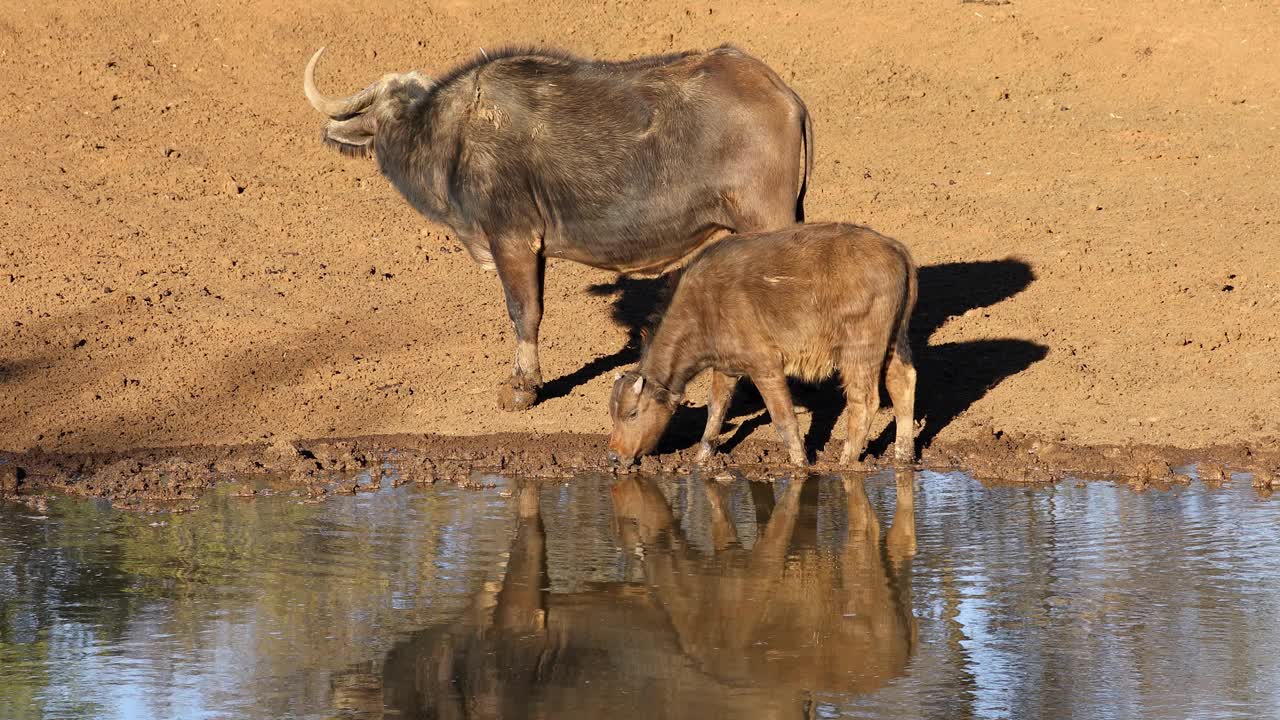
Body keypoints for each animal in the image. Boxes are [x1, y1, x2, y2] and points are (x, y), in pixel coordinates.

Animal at [304, 46, 814, 409]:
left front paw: (522, 388)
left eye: (401, 107)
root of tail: (783, 95)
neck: (450, 136)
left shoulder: (511, 239)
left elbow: (523, 311)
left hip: (766, 221)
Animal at [604, 221, 916, 461]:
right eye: (612, 415)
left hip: (859, 349)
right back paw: (903, 454)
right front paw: (701, 460)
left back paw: (846, 461)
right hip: (895, 341)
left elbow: (784, 420)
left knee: (864, 401)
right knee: (902, 381)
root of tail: (895, 248)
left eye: (632, 413)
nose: (614, 456)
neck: (705, 305)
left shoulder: (766, 367)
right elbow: (715, 412)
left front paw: (801, 464)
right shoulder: (726, 368)